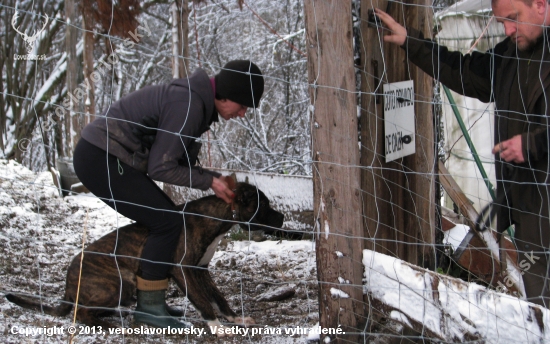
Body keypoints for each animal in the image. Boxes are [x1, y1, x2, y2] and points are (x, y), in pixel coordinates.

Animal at [6, 184, 284, 332]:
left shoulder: (201, 269)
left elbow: (219, 297)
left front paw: (234, 319)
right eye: (264, 205)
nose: (281, 218)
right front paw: (217, 328)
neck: (215, 218)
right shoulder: (183, 269)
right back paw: (112, 325)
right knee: (82, 312)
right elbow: (203, 300)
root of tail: (68, 284)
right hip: (120, 281)